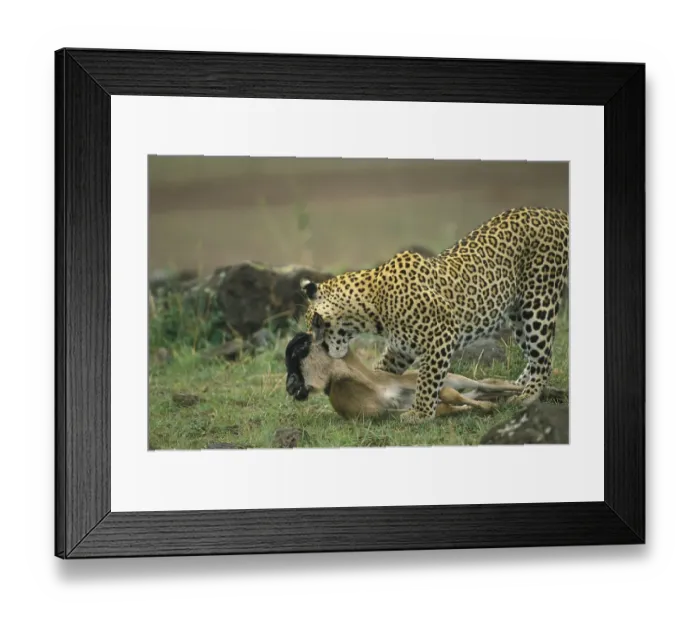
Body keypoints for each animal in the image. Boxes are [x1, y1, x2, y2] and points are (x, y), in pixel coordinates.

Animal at [300, 206, 569, 425]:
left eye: (315, 324)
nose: (315, 345)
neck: (372, 304)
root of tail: (555, 213)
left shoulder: (440, 336)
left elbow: (428, 380)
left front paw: (420, 413)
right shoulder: (400, 348)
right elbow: (385, 370)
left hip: (538, 302)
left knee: (543, 357)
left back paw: (528, 395)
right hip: (518, 313)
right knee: (534, 357)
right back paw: (518, 386)